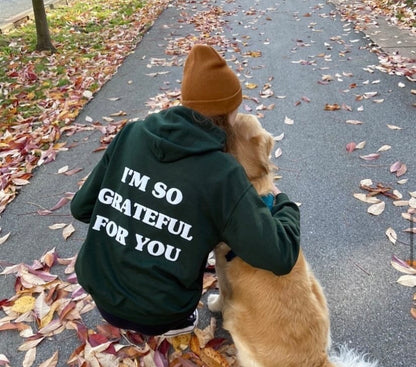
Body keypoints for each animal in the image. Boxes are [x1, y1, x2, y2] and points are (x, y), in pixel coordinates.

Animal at [208, 113, 376, 367]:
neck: (253, 181)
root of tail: (318, 358)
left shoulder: (223, 273)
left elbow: (221, 296)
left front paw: (212, 303)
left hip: (239, 327)